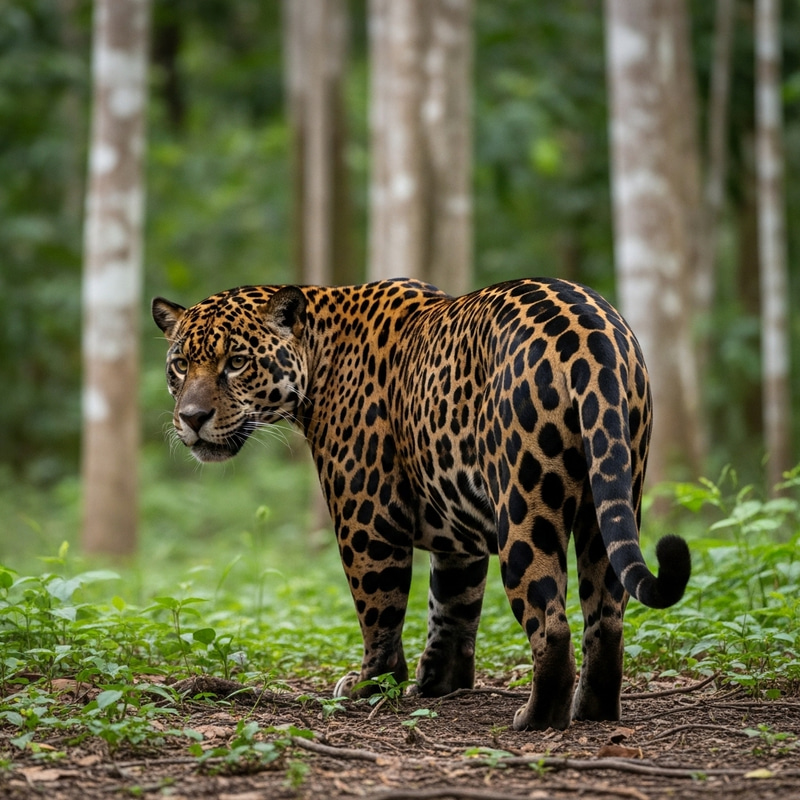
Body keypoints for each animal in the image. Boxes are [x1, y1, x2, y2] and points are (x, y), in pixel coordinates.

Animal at [152, 277, 691, 731]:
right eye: (180, 365)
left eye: (236, 362)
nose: (191, 417)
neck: (319, 352)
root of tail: (593, 336)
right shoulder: (456, 527)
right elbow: (453, 604)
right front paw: (440, 683)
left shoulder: (366, 516)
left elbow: (380, 609)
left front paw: (371, 684)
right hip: (614, 490)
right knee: (607, 615)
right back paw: (593, 710)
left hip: (524, 504)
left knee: (552, 623)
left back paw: (535, 718)